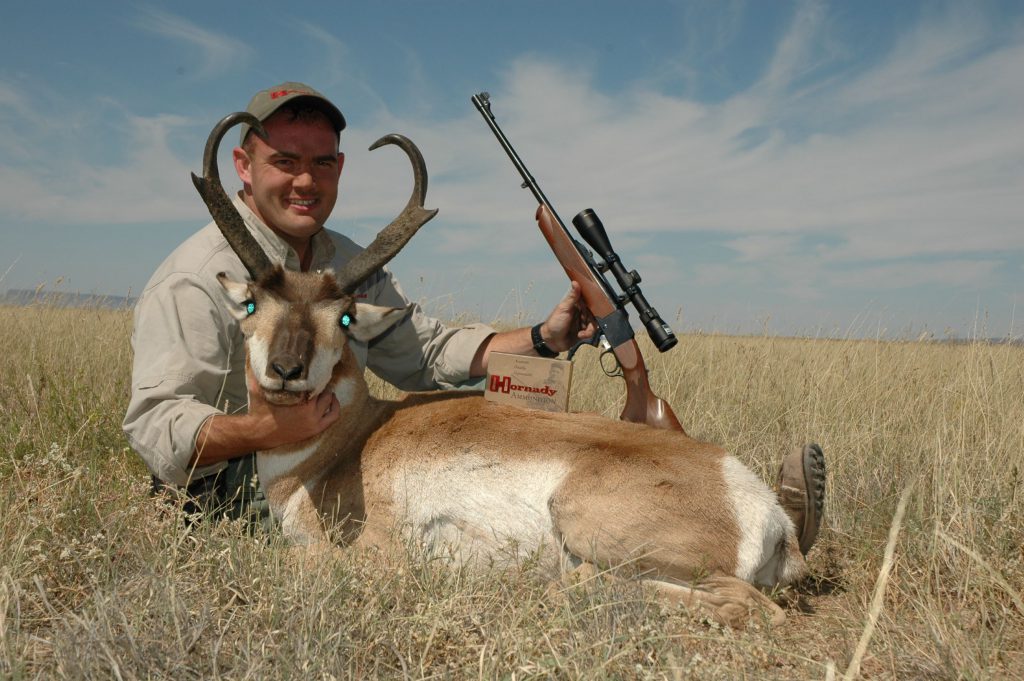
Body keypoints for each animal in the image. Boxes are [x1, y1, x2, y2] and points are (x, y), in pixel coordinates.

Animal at [195, 112, 827, 626]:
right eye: (251, 304)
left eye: (345, 316)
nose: (287, 369)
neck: (347, 443)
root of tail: (764, 509)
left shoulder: (364, 554)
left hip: (585, 521)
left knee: (740, 604)